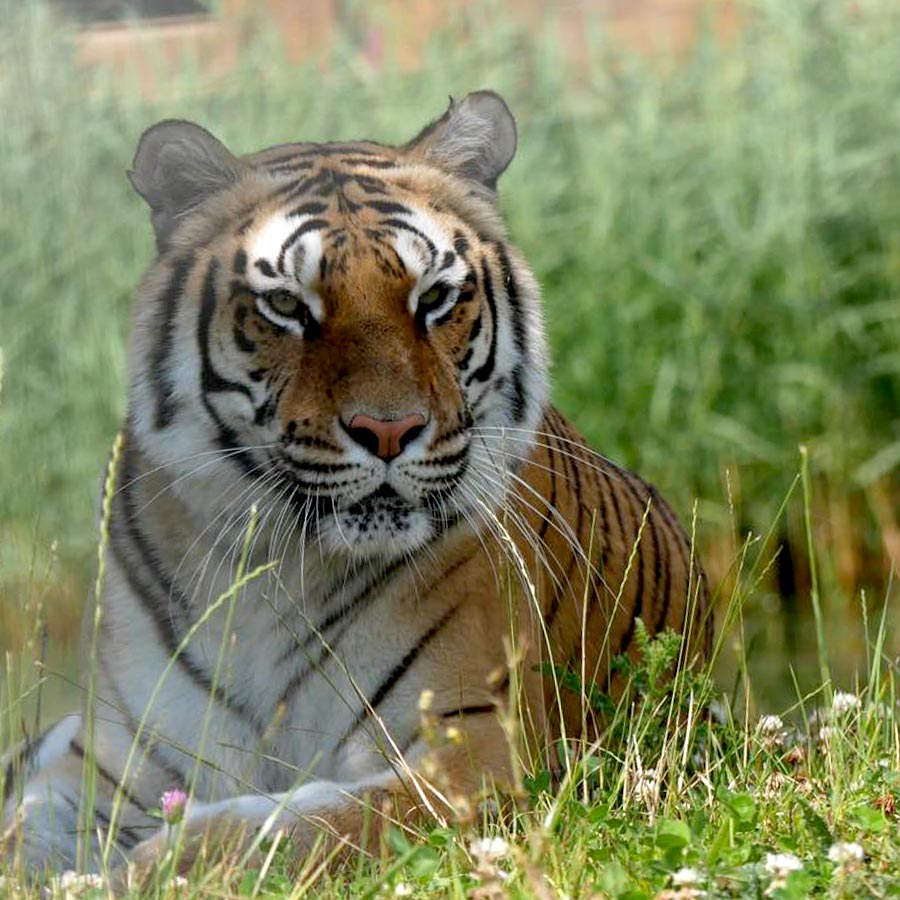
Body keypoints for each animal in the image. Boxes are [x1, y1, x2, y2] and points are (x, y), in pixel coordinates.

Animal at [3, 91, 712, 880]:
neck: (276, 568)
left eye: (435, 298)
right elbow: (22, 832)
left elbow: (296, 827)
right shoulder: (107, 756)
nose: (389, 429)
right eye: (286, 306)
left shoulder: (477, 758)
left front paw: (155, 864)